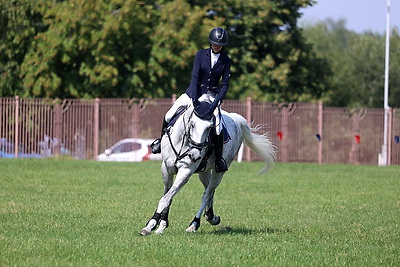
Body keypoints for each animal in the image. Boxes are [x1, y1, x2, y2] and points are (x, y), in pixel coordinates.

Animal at [140, 102, 276, 237]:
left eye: (209, 128)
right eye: (192, 124)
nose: (195, 155)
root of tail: (236, 119)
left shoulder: (185, 172)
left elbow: (166, 198)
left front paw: (150, 226)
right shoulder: (166, 169)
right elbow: (168, 195)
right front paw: (161, 224)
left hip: (219, 172)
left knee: (207, 194)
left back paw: (194, 224)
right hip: (204, 172)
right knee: (209, 190)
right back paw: (211, 216)